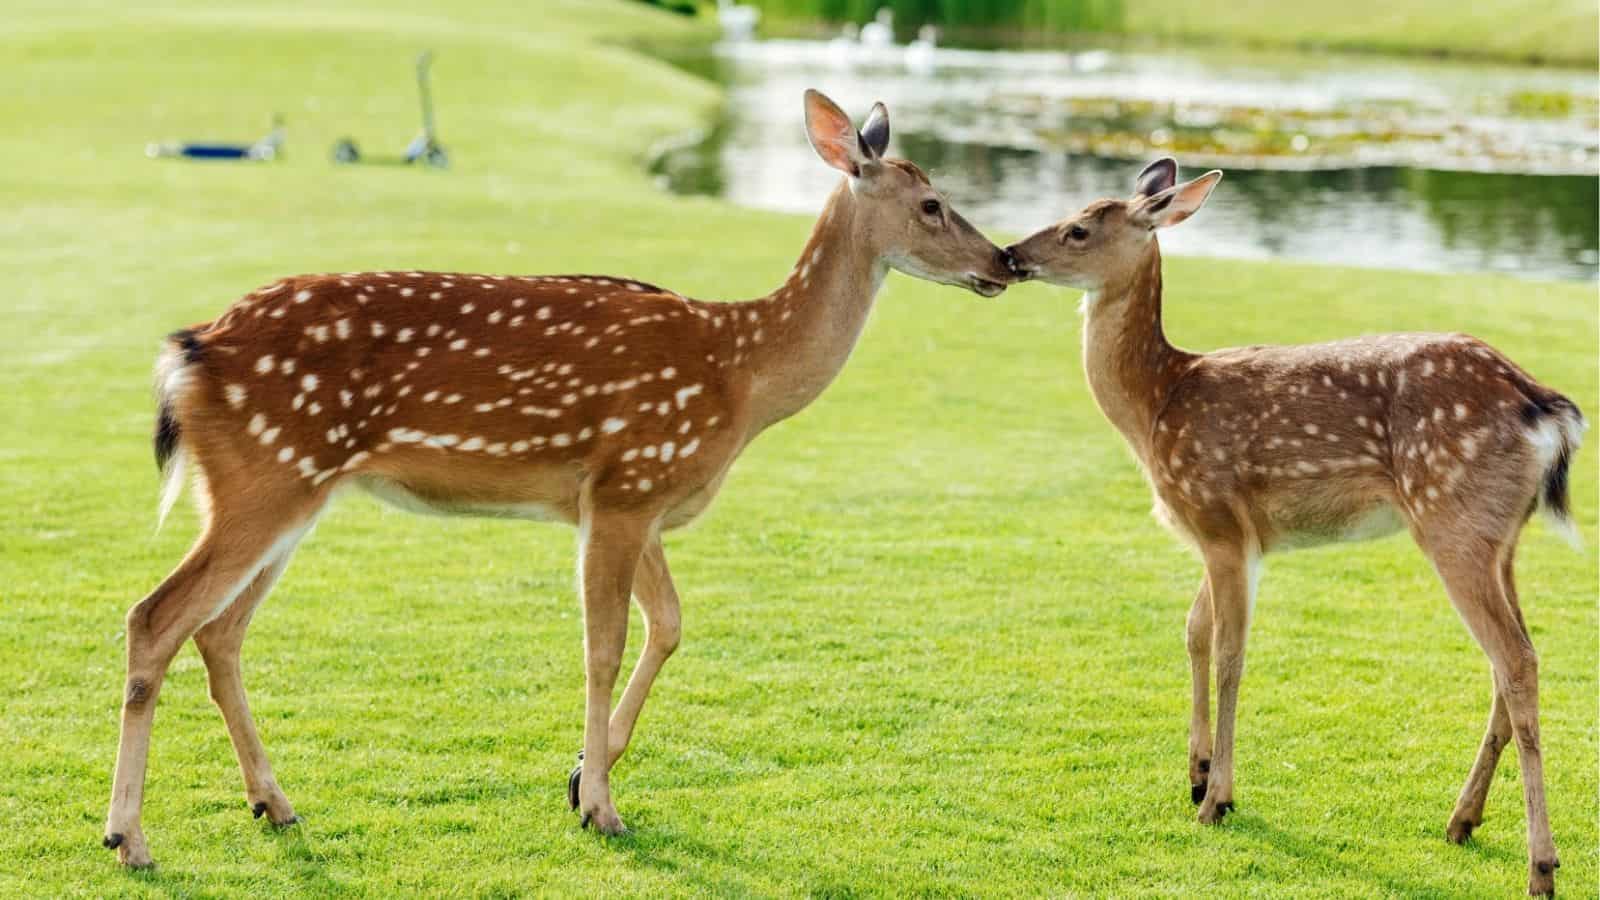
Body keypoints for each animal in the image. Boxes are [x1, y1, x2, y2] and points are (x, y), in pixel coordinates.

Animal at [103, 89, 1014, 867]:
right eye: (932, 203)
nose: (1003, 260)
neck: (742, 376)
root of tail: (187, 352)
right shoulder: (626, 485)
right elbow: (602, 646)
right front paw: (602, 806)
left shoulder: (631, 500)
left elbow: (669, 626)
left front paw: (581, 775)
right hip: (267, 476)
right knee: (156, 615)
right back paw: (129, 837)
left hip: (289, 491)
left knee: (219, 632)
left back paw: (274, 803)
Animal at [1003, 158, 1584, 897]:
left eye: (1078, 228)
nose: (1010, 255)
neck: (1156, 405)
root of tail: (1547, 407)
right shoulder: (1228, 535)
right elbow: (1193, 632)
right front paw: (1195, 777)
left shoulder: (1219, 516)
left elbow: (1230, 653)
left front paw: (1218, 799)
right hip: (1500, 536)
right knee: (1514, 660)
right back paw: (1462, 821)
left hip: (1452, 518)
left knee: (1515, 661)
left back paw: (1541, 865)